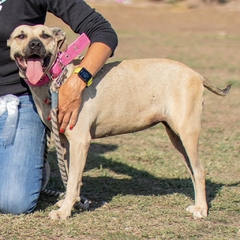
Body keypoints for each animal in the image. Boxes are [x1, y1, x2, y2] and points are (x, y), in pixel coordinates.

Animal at [7, 24, 231, 219]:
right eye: (21, 35)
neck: (57, 79)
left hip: (187, 132)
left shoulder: (80, 141)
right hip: (176, 137)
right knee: (193, 170)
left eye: (45, 35)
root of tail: (196, 74)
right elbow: (71, 178)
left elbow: (72, 182)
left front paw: (64, 212)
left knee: (200, 171)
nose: (35, 44)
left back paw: (201, 209)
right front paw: (69, 204)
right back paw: (197, 204)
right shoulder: (65, 143)